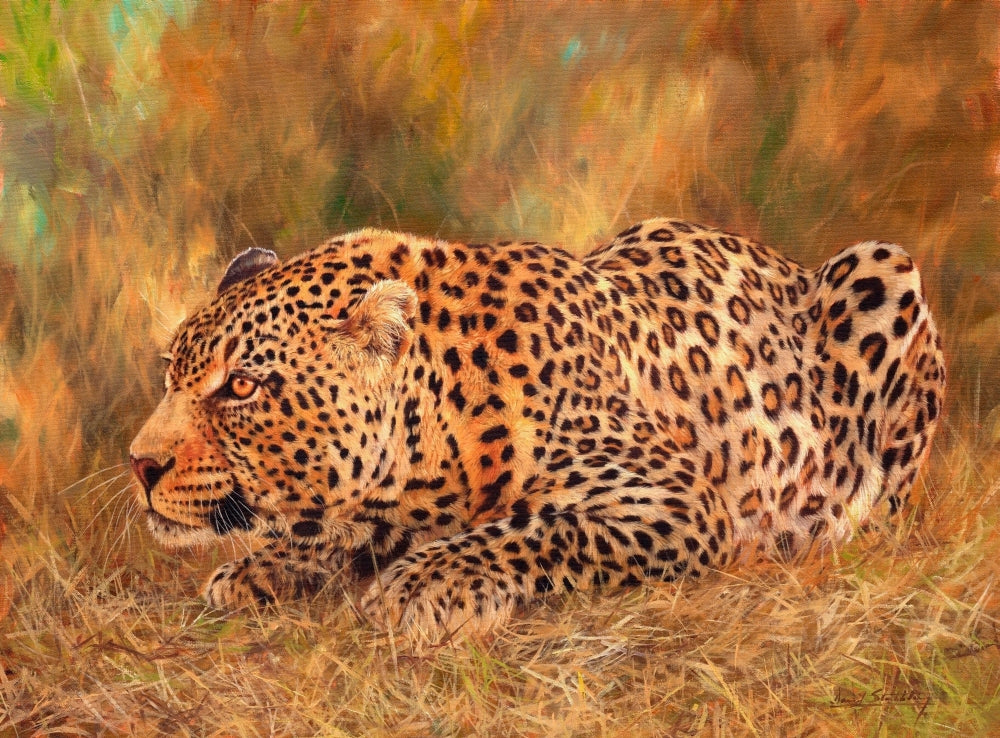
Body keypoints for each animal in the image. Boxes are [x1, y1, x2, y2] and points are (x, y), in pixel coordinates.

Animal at [129, 218, 945, 639]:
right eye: (171, 374)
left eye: (241, 386)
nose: (140, 464)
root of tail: (790, 263)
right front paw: (269, 566)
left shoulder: (673, 501)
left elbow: (535, 529)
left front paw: (420, 583)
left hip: (883, 267)